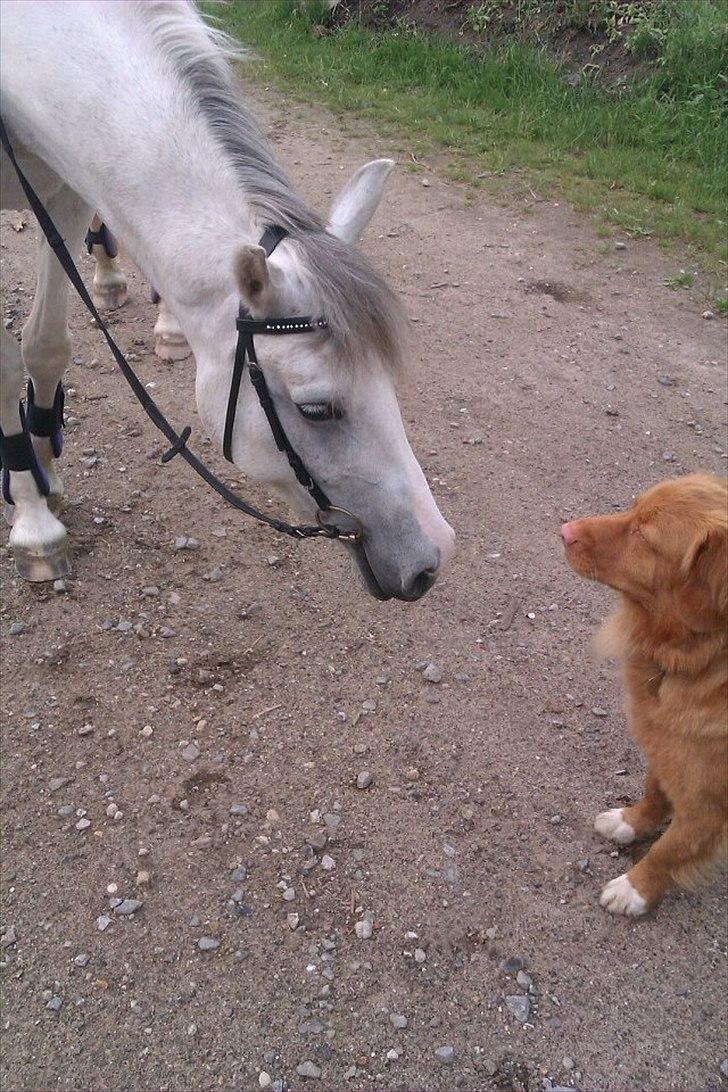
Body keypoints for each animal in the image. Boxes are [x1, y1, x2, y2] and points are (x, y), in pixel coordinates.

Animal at [1, 0, 456, 602]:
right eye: (317, 409)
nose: (433, 557)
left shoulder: (66, 185)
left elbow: (47, 345)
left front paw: (46, 471)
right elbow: (10, 363)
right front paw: (34, 517)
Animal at [563, 473, 724, 917]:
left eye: (642, 535)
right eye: (633, 509)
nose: (564, 530)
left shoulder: (710, 806)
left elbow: (670, 850)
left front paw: (636, 888)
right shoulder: (669, 742)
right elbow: (654, 791)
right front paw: (630, 822)